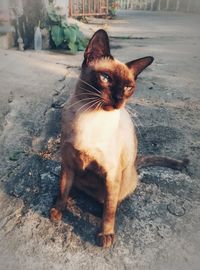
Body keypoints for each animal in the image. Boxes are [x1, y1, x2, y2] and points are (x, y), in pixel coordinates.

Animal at [49, 29, 188, 247]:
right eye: (105, 78)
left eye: (128, 88)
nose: (118, 100)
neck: (89, 116)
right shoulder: (68, 163)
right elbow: (63, 190)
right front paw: (57, 211)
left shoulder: (111, 174)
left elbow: (109, 210)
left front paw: (105, 235)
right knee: (73, 188)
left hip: (120, 181)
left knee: (110, 202)